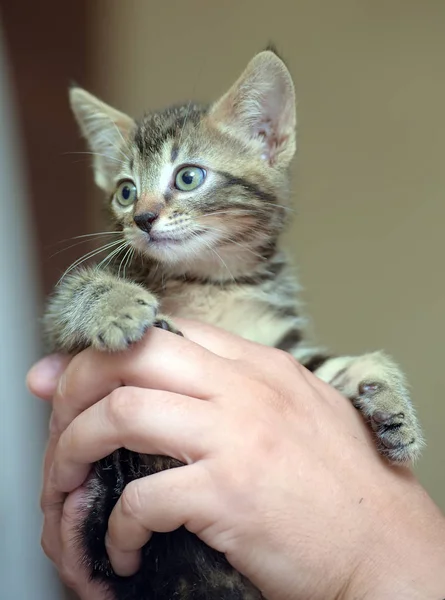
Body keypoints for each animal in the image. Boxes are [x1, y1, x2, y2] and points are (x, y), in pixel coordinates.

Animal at [44, 48, 424, 600]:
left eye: (187, 177)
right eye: (126, 191)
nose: (142, 218)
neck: (212, 281)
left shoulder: (282, 345)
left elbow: (344, 363)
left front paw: (391, 405)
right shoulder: (58, 327)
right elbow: (77, 291)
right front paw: (118, 308)